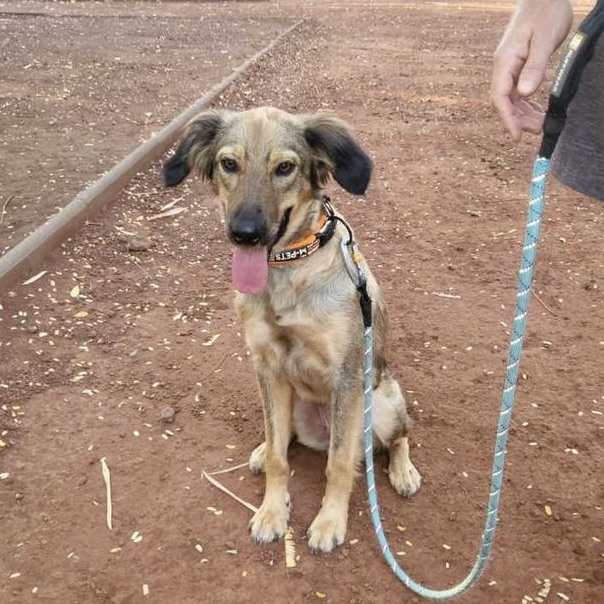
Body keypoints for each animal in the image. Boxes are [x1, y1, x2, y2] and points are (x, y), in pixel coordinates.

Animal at [163, 107, 422, 552]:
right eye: (228, 163)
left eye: (285, 167)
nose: (244, 233)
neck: (288, 270)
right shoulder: (267, 366)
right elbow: (279, 459)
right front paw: (271, 512)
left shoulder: (347, 376)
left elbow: (338, 464)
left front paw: (329, 522)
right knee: (283, 439)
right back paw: (261, 449)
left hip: (381, 403)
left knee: (394, 439)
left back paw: (402, 471)